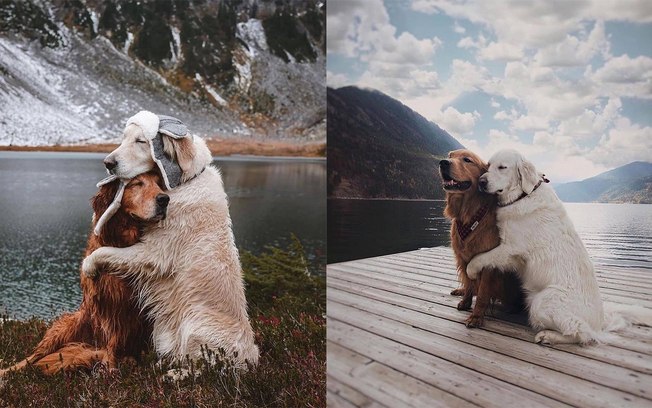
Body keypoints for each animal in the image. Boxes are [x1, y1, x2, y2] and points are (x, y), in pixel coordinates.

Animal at [0, 111, 260, 380]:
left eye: (141, 141)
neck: (186, 182)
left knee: (203, 367)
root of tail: (249, 362)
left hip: (196, 323)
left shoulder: (154, 253)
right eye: (124, 138)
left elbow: (105, 252)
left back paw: (172, 374)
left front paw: (89, 266)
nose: (108, 162)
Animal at [440, 147, 648, 344]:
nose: (482, 182)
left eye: (502, 167)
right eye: (488, 165)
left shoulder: (509, 249)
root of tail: (599, 323)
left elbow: (478, 259)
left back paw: (547, 336)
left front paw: (471, 272)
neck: (523, 196)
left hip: (541, 302)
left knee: (581, 333)